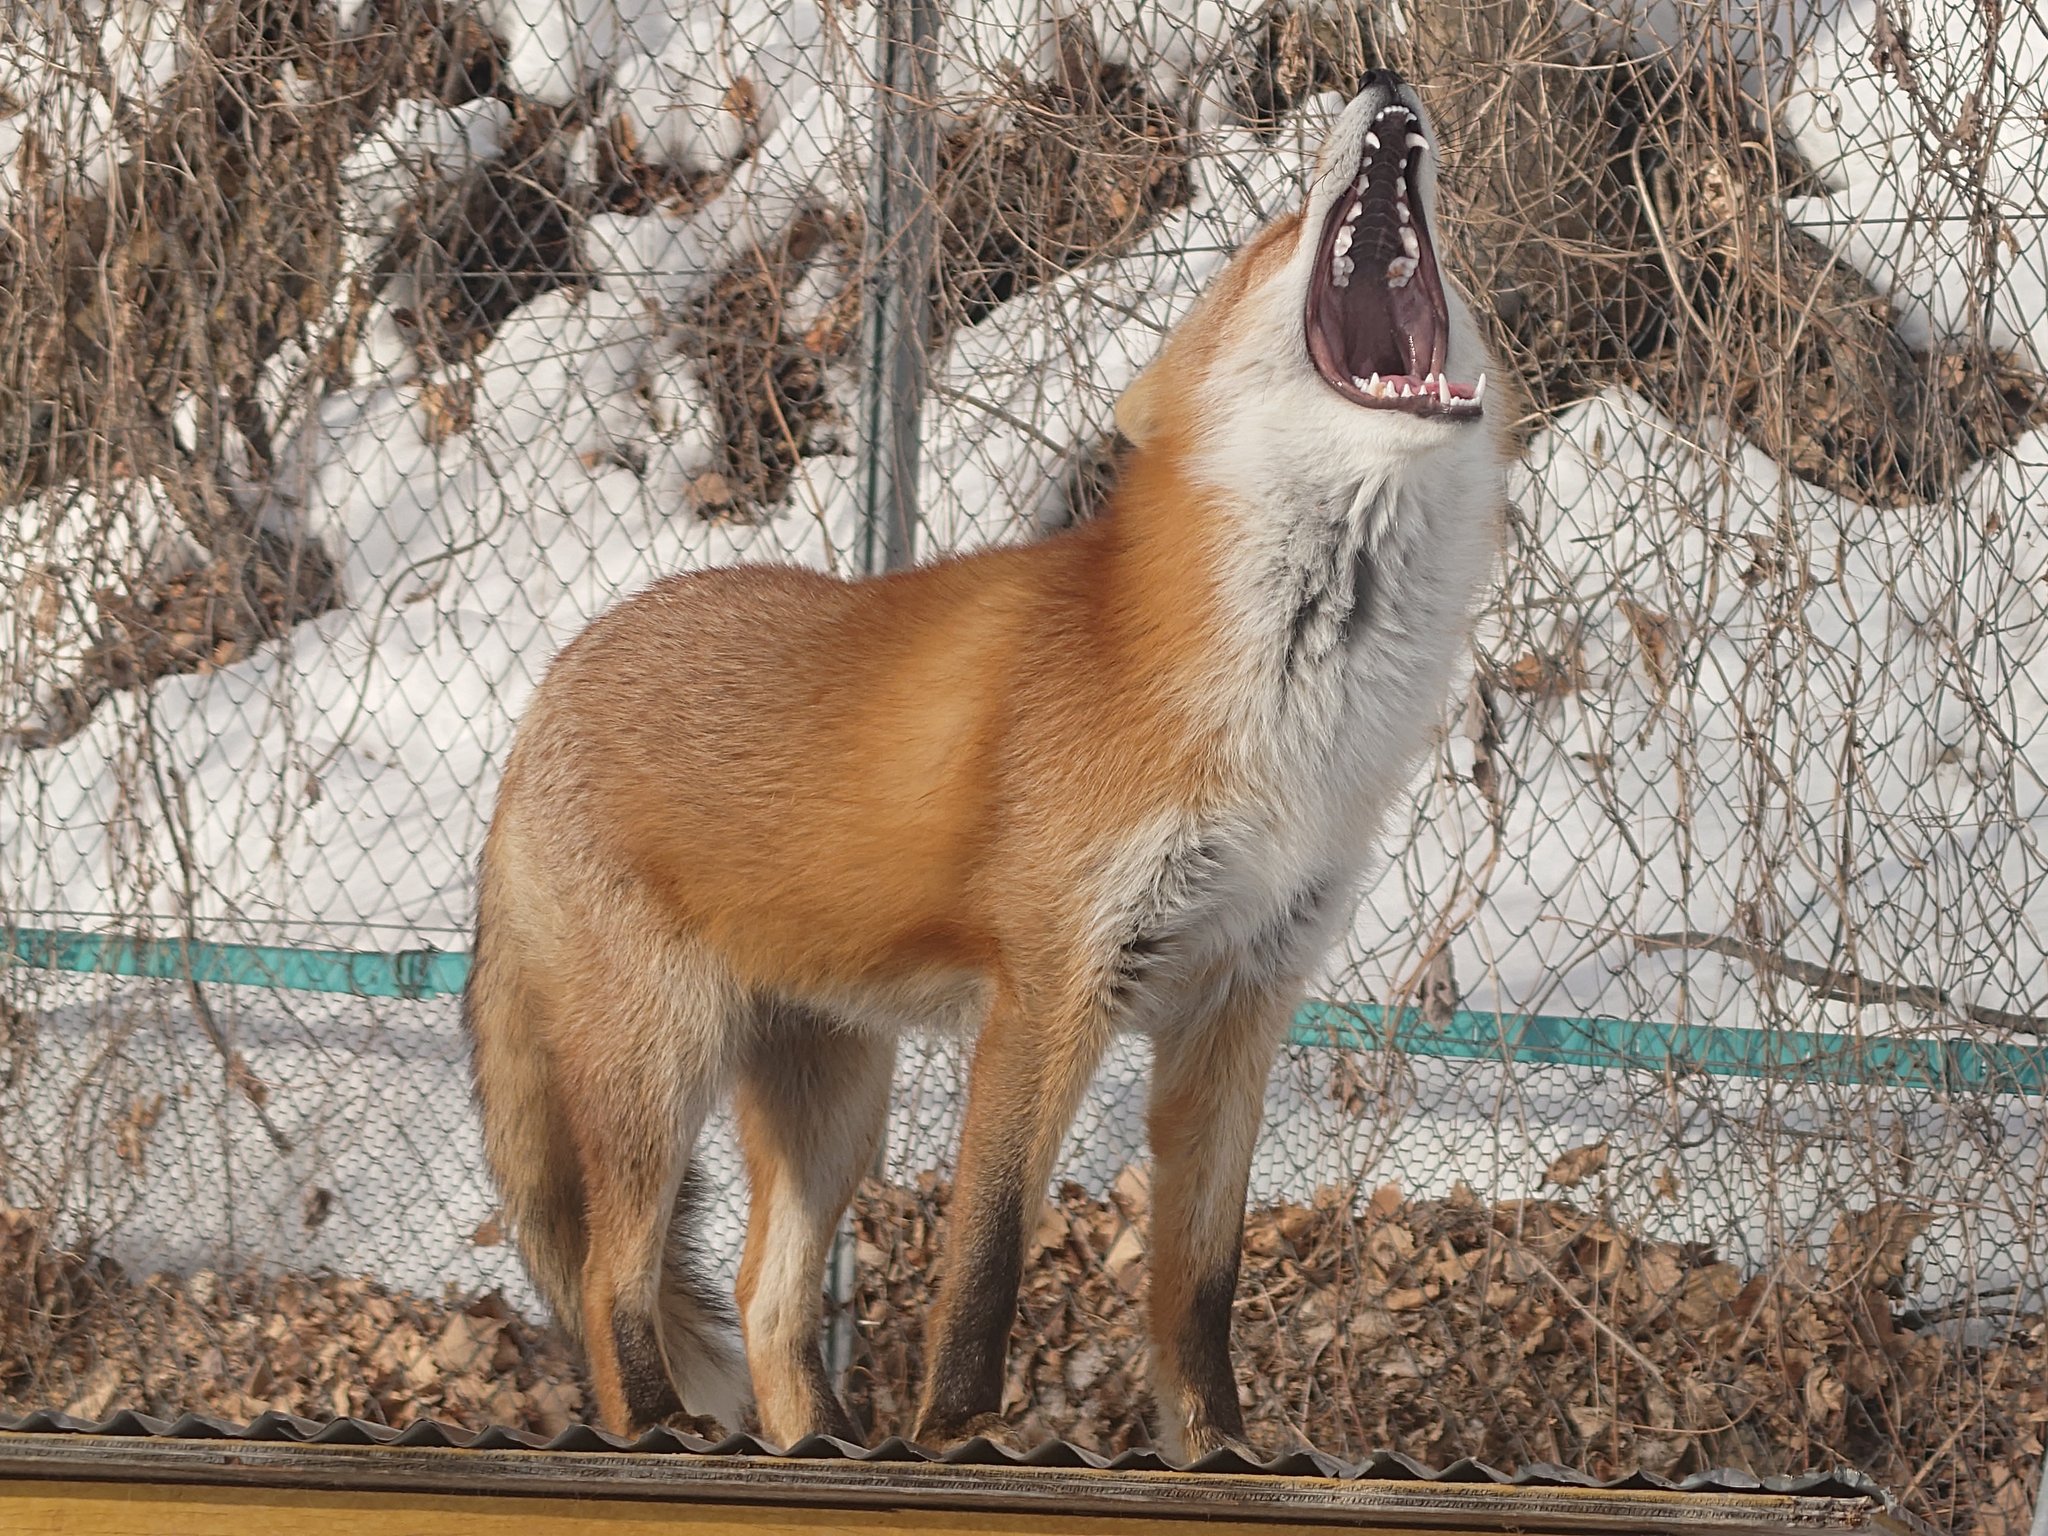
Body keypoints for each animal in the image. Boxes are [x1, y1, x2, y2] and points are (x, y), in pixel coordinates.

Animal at [467, 68, 1508, 1460]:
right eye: (1273, 238)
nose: (1386, 82)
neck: (1295, 725)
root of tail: (548, 690)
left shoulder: (1241, 997)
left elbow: (1199, 1288)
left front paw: (1215, 1451)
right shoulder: (1051, 984)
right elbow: (986, 1262)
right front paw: (955, 1437)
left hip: (831, 1097)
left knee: (762, 1297)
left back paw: (816, 1441)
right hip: (657, 1067)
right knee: (608, 1283)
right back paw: (662, 1435)